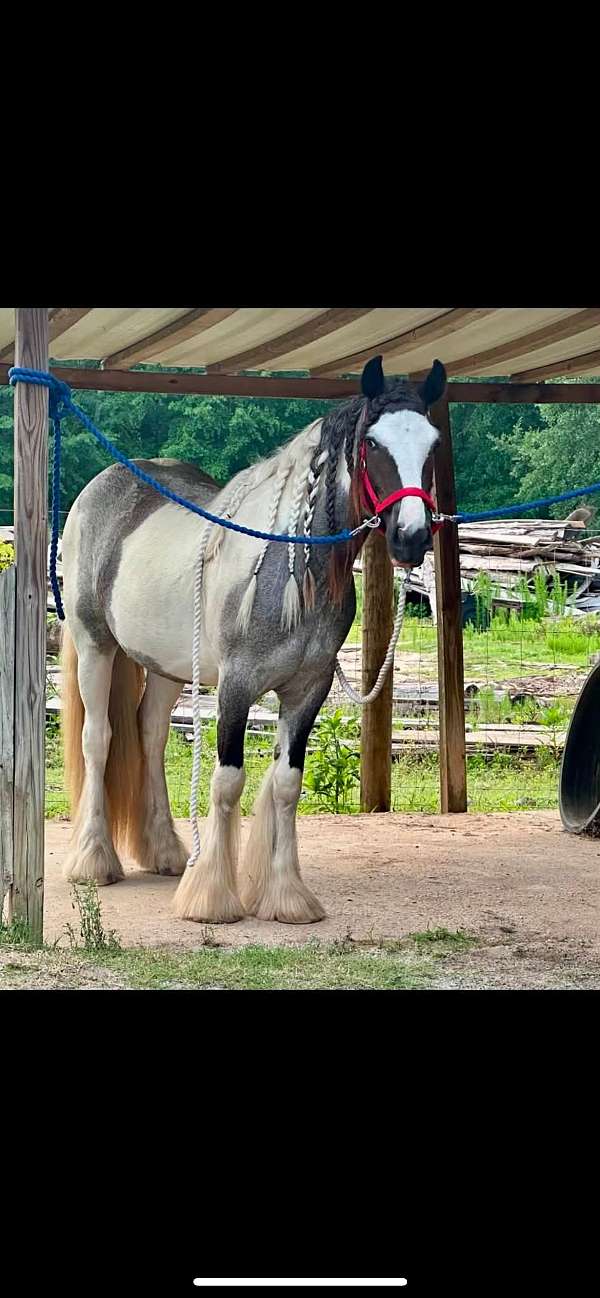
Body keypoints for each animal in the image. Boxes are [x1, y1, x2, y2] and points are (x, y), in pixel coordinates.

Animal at [60, 354, 447, 925]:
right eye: (372, 443)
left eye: (432, 442)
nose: (411, 537)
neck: (291, 571)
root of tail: (101, 488)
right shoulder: (237, 687)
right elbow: (227, 781)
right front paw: (211, 898)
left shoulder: (307, 690)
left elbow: (286, 785)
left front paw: (287, 897)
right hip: (95, 646)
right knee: (98, 738)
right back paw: (93, 861)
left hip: (167, 667)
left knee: (151, 734)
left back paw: (166, 852)